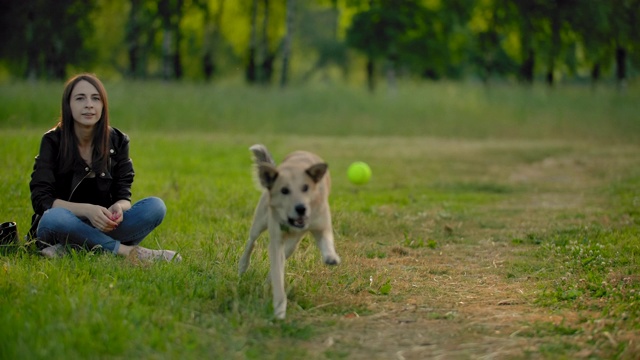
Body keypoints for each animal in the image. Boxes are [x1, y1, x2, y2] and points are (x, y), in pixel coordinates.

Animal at [239, 143, 340, 318]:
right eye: (284, 190)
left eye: (306, 188)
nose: (301, 208)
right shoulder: (276, 241)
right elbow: (278, 276)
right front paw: (279, 309)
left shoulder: (321, 222)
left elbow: (326, 239)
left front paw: (331, 257)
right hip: (260, 222)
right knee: (252, 241)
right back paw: (243, 266)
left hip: (292, 246)